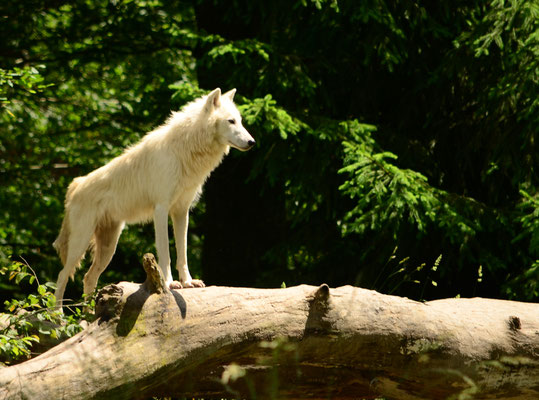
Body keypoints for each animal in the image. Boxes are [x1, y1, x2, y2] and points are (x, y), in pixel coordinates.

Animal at [53, 89, 256, 304]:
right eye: (231, 121)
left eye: (240, 121)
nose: (252, 142)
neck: (186, 149)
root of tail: (75, 185)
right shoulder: (161, 209)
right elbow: (165, 252)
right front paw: (169, 283)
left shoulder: (181, 211)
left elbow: (182, 252)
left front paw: (188, 282)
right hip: (81, 243)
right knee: (62, 275)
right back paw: (57, 312)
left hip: (109, 247)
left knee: (88, 277)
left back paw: (90, 311)